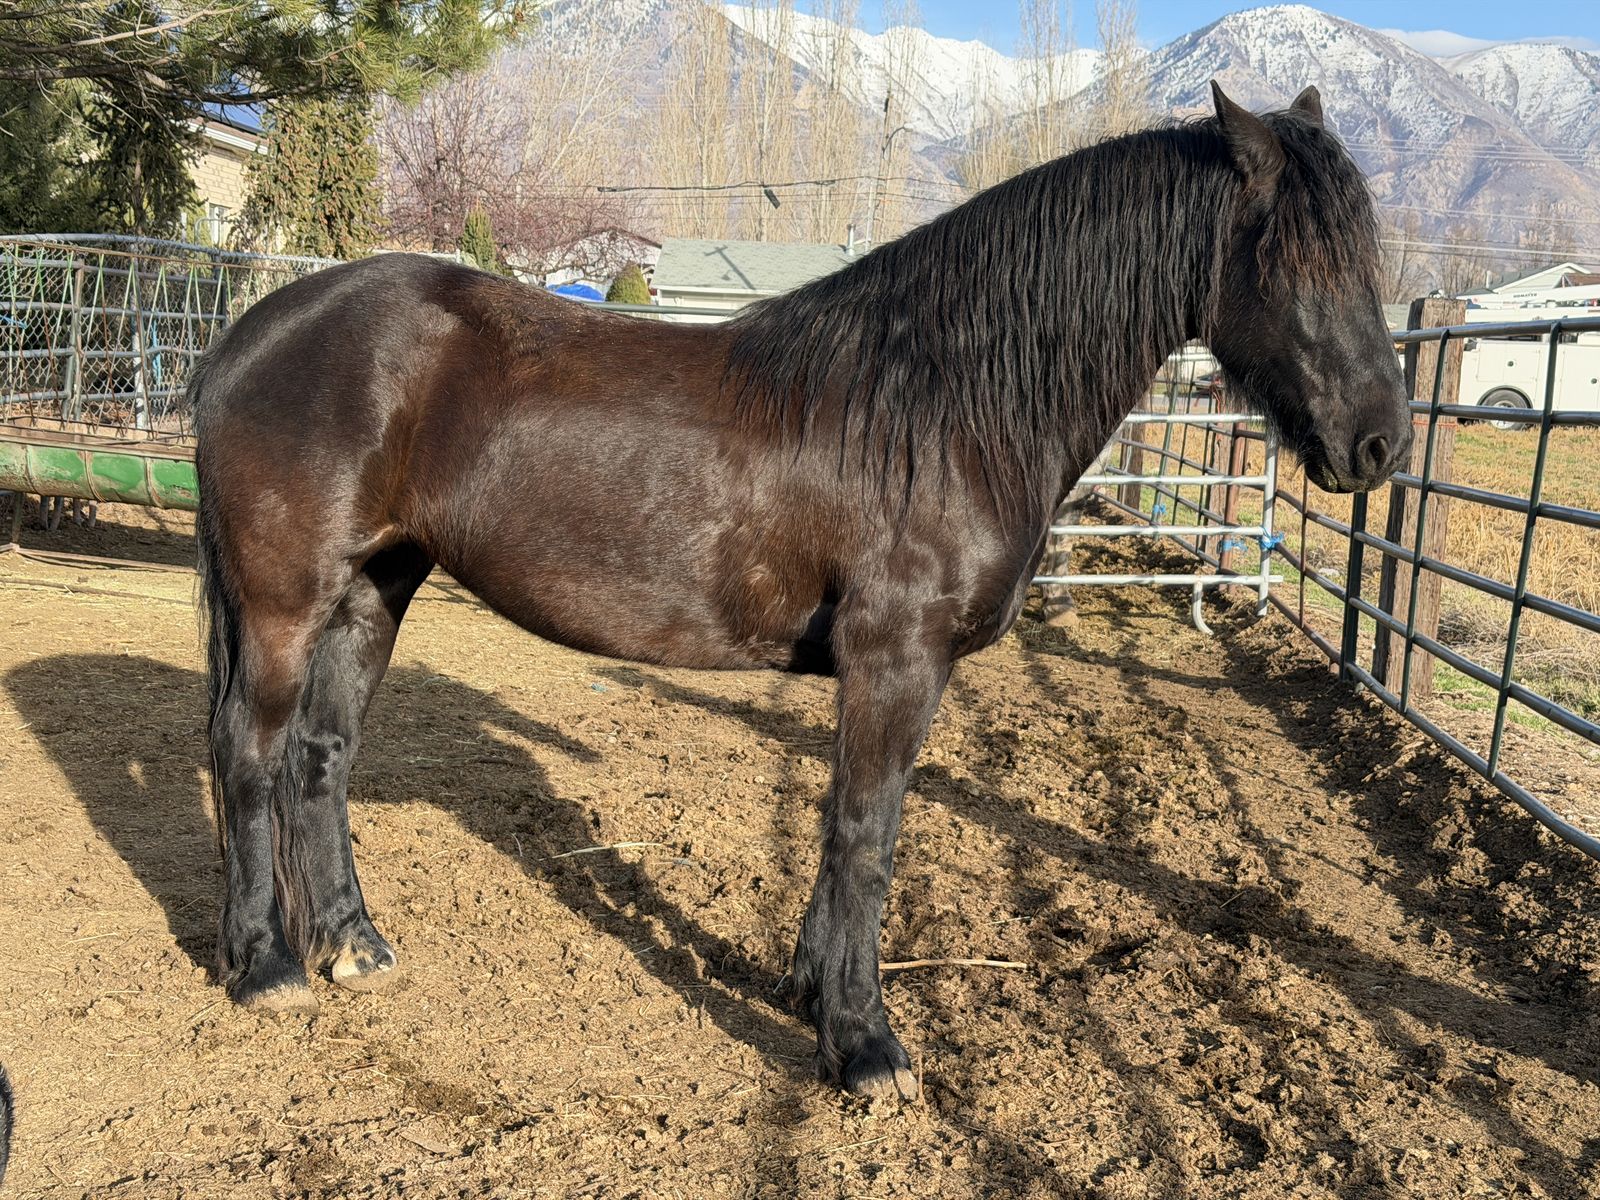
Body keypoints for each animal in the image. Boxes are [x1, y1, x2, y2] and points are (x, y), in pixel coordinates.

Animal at [191, 83, 1409, 1100]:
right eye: (1296, 260)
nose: (1378, 445)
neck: (941, 406)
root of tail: (254, 331)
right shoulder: (897, 661)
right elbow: (867, 836)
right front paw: (866, 1047)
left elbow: (846, 827)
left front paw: (813, 993)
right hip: (287, 601)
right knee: (248, 753)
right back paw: (264, 967)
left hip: (373, 587)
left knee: (322, 757)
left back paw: (351, 945)